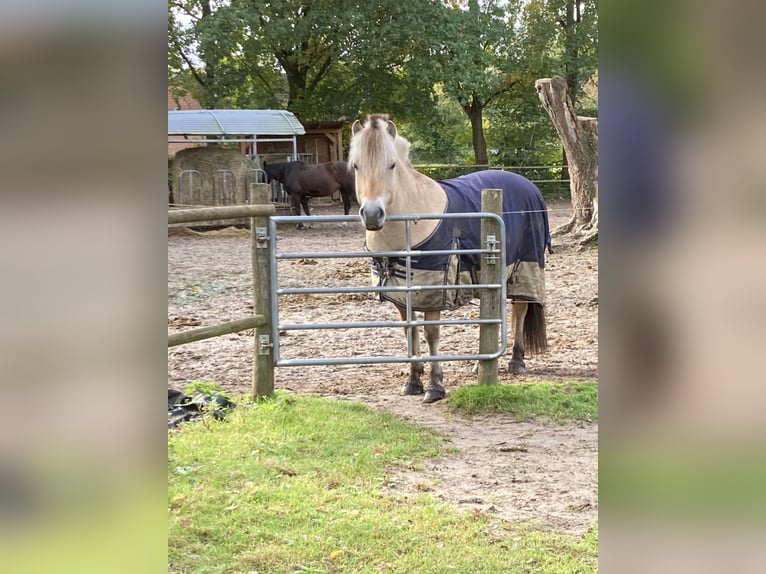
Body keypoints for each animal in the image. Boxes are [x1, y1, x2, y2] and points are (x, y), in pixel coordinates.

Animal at [348, 115, 552, 404]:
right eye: (356, 165)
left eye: (392, 165)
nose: (373, 214)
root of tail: (527, 184)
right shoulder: (400, 295)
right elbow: (410, 331)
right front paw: (413, 381)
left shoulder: (434, 291)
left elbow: (431, 334)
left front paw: (435, 386)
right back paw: (482, 363)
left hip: (523, 268)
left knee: (520, 309)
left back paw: (516, 361)